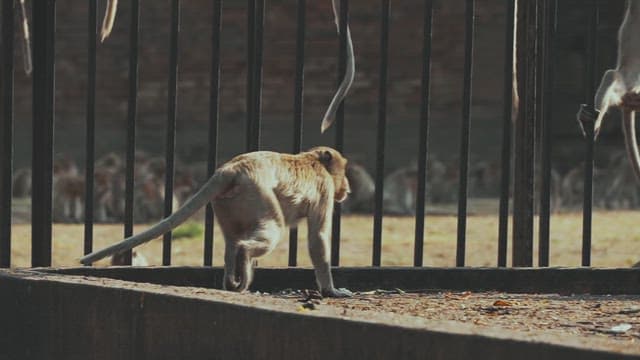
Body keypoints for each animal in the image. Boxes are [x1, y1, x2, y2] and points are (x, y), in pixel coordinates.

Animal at [79, 147, 356, 298]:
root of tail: (231, 170)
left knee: (233, 240)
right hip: (258, 193)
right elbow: (318, 239)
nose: (348, 188)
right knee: (270, 231)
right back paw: (244, 258)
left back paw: (232, 277)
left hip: (226, 202)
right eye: (343, 172)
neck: (314, 161)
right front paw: (331, 291)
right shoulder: (325, 189)